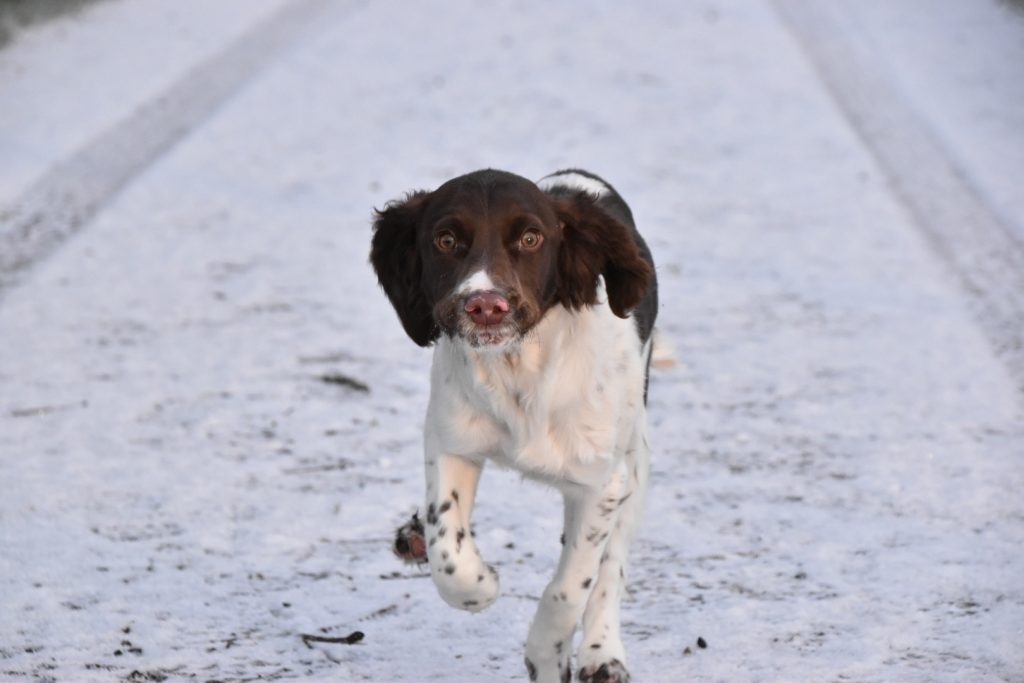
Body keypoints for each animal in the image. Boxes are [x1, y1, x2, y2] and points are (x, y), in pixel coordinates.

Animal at [368, 169, 655, 683]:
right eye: (446, 239)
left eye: (530, 238)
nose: (486, 306)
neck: (518, 367)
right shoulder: (450, 440)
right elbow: (449, 550)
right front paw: (479, 584)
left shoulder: (600, 484)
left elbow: (570, 589)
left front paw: (546, 656)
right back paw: (414, 536)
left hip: (635, 463)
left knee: (611, 566)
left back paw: (602, 652)